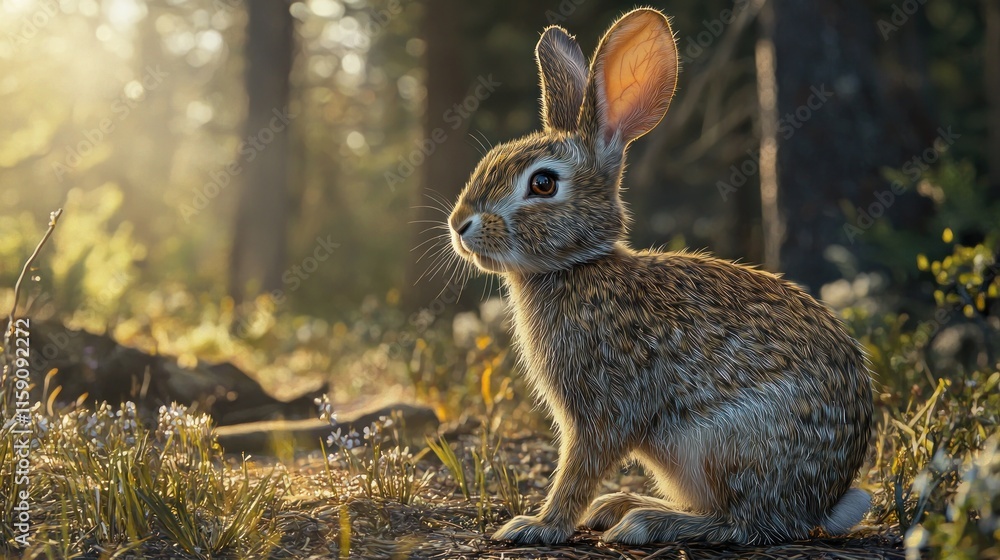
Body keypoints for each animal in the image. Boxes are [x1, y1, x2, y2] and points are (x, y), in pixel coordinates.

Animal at [446, 8, 874, 546]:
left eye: (542, 183)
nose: (459, 224)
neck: (577, 268)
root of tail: (827, 500)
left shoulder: (604, 409)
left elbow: (579, 470)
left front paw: (538, 526)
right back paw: (624, 505)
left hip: (727, 446)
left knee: (747, 525)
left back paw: (647, 522)